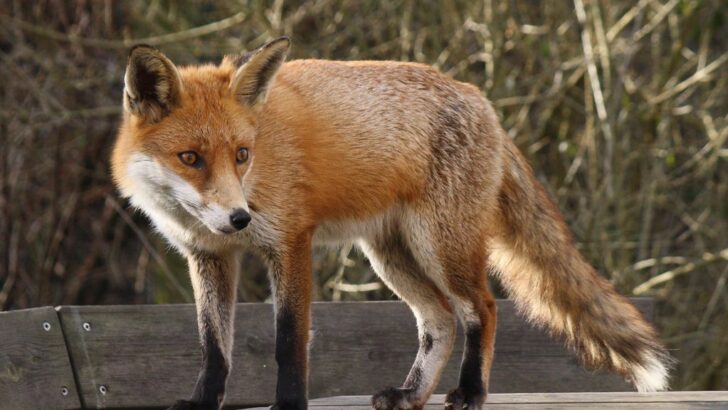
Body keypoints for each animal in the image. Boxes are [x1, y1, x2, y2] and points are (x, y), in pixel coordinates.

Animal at [111, 37, 672, 410]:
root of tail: (480, 99)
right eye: (190, 158)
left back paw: (471, 392)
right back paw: (411, 394)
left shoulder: (289, 242)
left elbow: (289, 341)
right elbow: (213, 346)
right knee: (440, 322)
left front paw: (288, 405)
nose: (239, 216)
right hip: (391, 256)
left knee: (482, 310)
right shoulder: (209, 256)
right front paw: (203, 402)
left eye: (242, 155)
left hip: (440, 246)